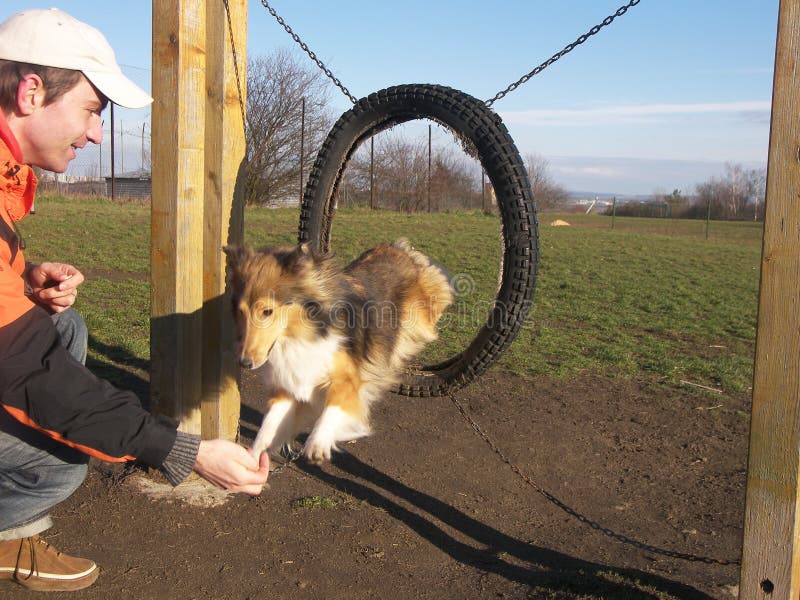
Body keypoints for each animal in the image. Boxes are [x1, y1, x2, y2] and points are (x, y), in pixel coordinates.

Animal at [222, 240, 454, 464]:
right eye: (239, 312)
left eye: (267, 311)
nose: (244, 363)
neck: (301, 335)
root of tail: (395, 248)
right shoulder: (288, 388)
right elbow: (268, 428)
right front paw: (249, 460)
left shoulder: (348, 380)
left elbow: (331, 409)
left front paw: (317, 443)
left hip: (423, 316)